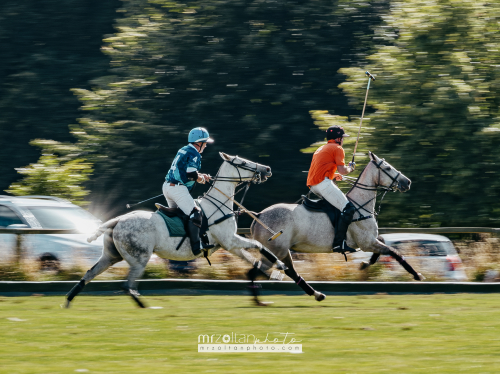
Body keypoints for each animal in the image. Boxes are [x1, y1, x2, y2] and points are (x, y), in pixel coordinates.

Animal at [66, 153, 286, 308]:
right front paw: (281, 266)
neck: (219, 204)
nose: (267, 169)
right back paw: (146, 307)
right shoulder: (230, 240)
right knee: (127, 285)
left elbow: (251, 258)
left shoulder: (229, 245)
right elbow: (259, 246)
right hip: (139, 258)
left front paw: (269, 274)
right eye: (242, 162)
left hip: (111, 256)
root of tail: (117, 220)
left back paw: (68, 301)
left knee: (89, 274)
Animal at [250, 152, 422, 300]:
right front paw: (417, 275)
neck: (359, 205)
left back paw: (317, 294)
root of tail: (258, 215)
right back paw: (258, 301)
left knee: (290, 271)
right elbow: (394, 252)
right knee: (255, 271)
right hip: (275, 251)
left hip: (283, 251)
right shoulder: (366, 242)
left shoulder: (370, 240)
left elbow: (383, 246)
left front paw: (364, 264)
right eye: (387, 168)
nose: (407, 182)